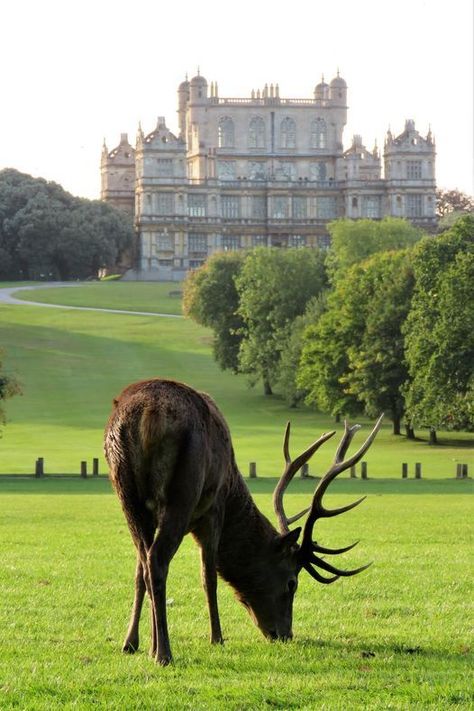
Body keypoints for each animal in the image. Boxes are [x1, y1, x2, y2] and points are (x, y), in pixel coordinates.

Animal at [105, 378, 384, 668]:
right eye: (292, 583)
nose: (285, 634)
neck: (232, 491)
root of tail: (146, 413)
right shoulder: (214, 510)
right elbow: (209, 577)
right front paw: (217, 638)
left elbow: (138, 572)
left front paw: (134, 643)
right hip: (183, 490)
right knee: (158, 560)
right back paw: (165, 654)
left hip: (126, 491)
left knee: (147, 561)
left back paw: (147, 646)